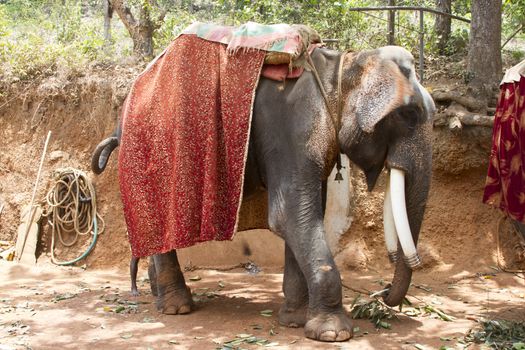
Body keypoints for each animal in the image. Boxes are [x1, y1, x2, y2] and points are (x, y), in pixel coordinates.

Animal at [93, 44, 434, 342]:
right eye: (409, 115)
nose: (382, 294)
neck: (341, 65)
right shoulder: (296, 127)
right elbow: (290, 215)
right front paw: (333, 333)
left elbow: (305, 215)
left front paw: (295, 320)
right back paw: (177, 308)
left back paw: (158, 295)